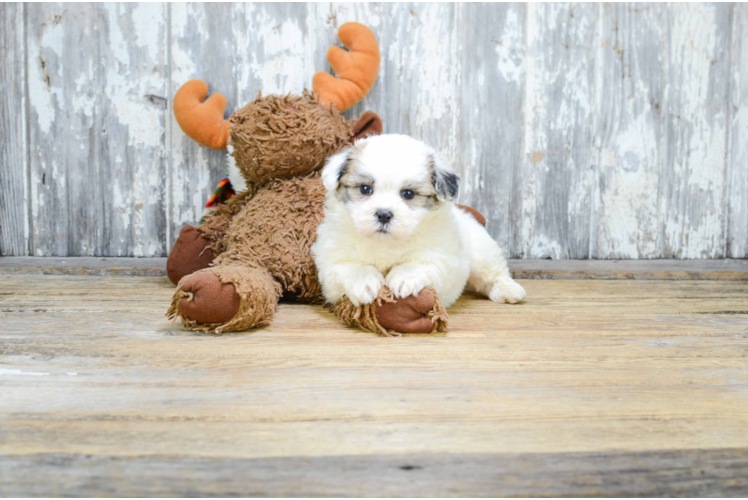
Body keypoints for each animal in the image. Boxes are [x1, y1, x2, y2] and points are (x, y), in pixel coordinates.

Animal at [310, 136, 524, 308]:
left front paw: (403, 277)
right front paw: (364, 282)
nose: (384, 214)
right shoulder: (332, 263)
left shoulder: (440, 257)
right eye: (365, 189)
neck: (385, 242)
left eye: (408, 194)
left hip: (482, 252)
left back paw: (508, 290)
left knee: (494, 272)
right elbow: (350, 267)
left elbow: (419, 263)